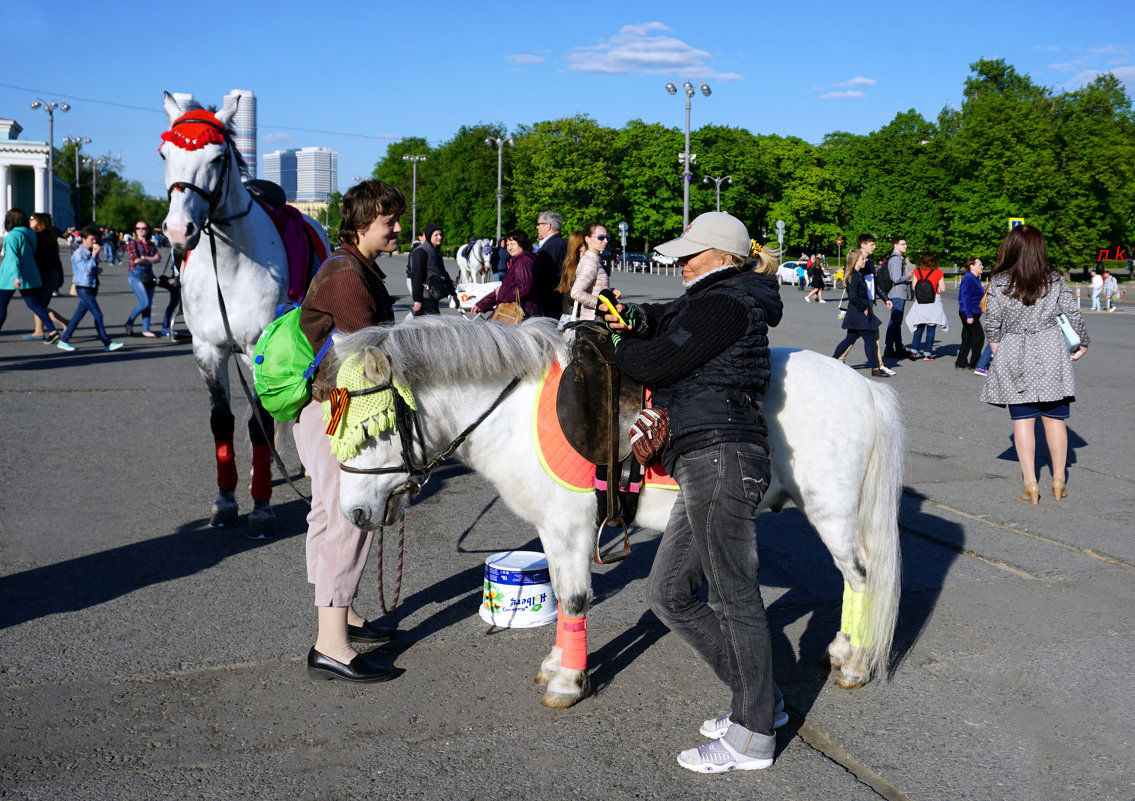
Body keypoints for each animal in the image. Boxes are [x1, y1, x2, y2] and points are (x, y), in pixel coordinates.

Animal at [158, 90, 331, 533]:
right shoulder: (207, 350)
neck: (229, 263)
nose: (178, 230)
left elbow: (260, 422)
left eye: (218, 157)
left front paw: (262, 505)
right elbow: (223, 422)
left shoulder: (259, 349)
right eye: (164, 153)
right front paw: (226, 501)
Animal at [331, 315, 903, 707]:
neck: (513, 415)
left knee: (860, 577)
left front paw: (569, 680)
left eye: (370, 426)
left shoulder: (570, 526)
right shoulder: (552, 529)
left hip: (831, 514)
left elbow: (575, 599)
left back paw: (853, 661)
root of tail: (864, 387)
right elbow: (563, 593)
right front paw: (558, 663)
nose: (354, 513)